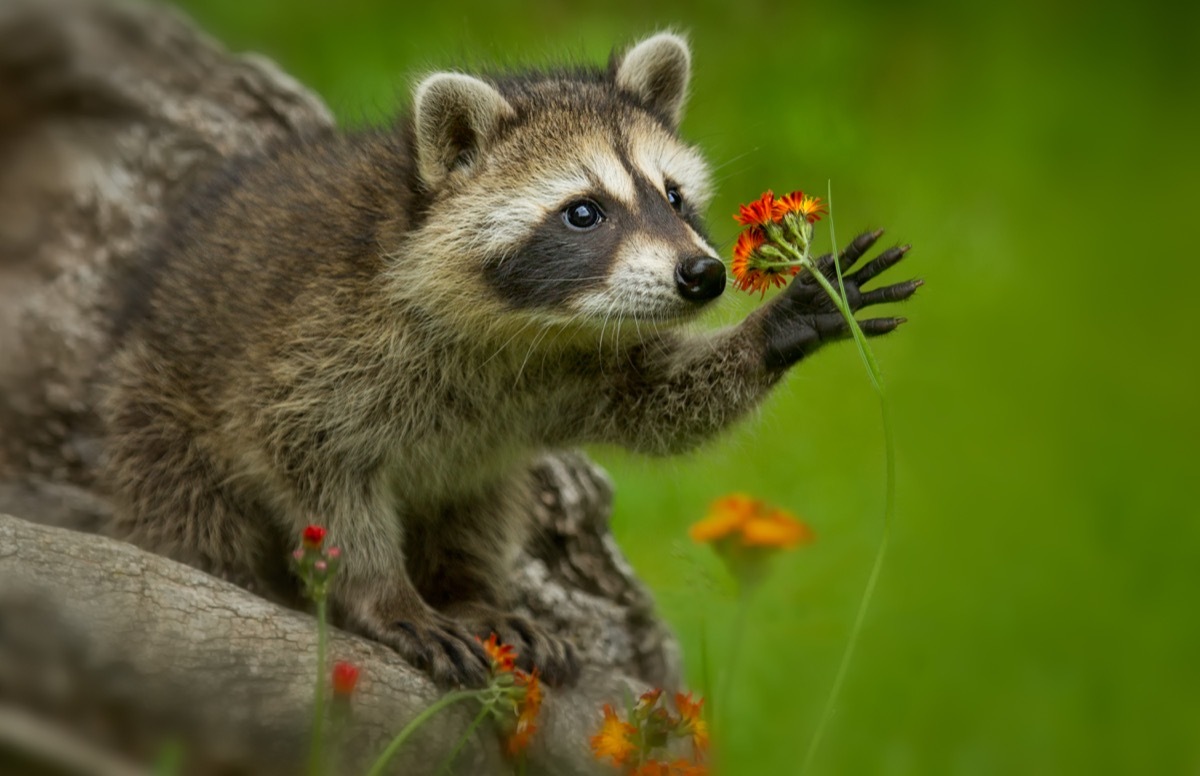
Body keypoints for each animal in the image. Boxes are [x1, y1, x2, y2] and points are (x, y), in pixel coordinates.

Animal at [103, 31, 916, 686]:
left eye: (674, 197)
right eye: (584, 212)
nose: (704, 276)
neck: (524, 326)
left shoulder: (576, 364)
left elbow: (658, 400)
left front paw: (780, 325)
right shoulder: (316, 347)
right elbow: (318, 472)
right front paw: (382, 592)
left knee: (480, 502)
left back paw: (471, 591)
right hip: (157, 420)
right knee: (197, 522)